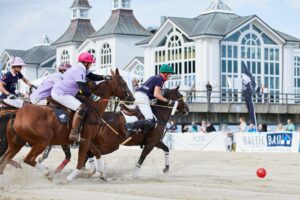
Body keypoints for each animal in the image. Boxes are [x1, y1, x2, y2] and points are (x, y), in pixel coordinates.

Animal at [0, 69, 134, 181]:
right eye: (123, 83)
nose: (132, 98)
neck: (94, 106)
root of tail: (17, 113)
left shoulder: (87, 139)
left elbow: (96, 153)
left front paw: (103, 175)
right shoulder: (85, 139)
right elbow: (81, 159)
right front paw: (69, 178)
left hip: (16, 143)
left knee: (4, 159)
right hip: (41, 142)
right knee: (27, 159)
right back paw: (48, 173)